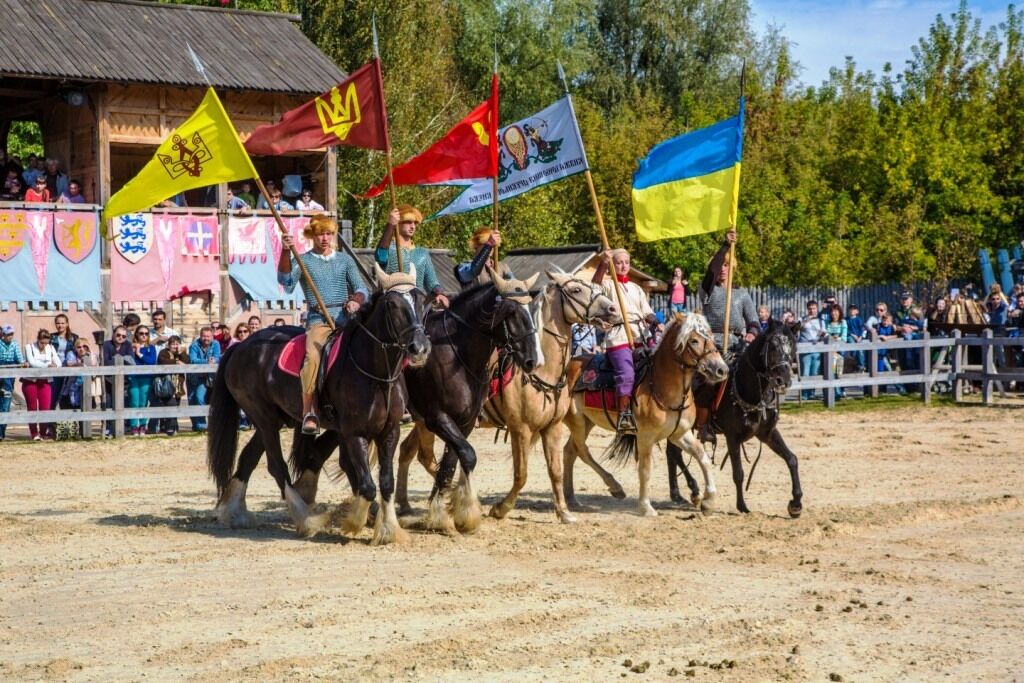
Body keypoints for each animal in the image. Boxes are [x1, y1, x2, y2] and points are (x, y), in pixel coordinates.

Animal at [205, 266, 430, 544]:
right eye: (393, 304)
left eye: (422, 301)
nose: (419, 348)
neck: (375, 373)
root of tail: (239, 348)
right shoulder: (353, 433)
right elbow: (366, 484)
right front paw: (354, 522)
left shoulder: (389, 431)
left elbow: (385, 482)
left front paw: (389, 529)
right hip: (263, 418)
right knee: (277, 466)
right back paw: (306, 518)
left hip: (272, 419)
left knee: (248, 457)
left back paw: (233, 511)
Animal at [391, 270, 614, 528]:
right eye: (576, 290)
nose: (612, 309)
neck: (545, 370)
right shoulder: (520, 429)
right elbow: (521, 474)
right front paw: (500, 508)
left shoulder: (552, 427)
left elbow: (555, 471)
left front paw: (563, 512)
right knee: (423, 456)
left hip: (422, 421)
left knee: (410, 451)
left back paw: (407, 503)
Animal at [561, 315, 729, 518]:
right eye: (694, 340)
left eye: (710, 336)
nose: (721, 369)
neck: (661, 385)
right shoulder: (645, 437)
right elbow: (645, 469)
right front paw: (645, 507)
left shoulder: (680, 434)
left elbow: (701, 455)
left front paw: (708, 500)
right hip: (577, 420)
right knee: (582, 450)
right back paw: (614, 486)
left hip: (587, 422)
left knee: (570, 451)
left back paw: (572, 499)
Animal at [667, 321, 802, 518]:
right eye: (773, 346)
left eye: (792, 346)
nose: (783, 380)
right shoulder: (733, 437)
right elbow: (738, 473)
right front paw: (742, 506)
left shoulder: (767, 433)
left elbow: (791, 459)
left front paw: (796, 504)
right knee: (674, 453)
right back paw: (691, 491)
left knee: (672, 453)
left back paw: (679, 493)